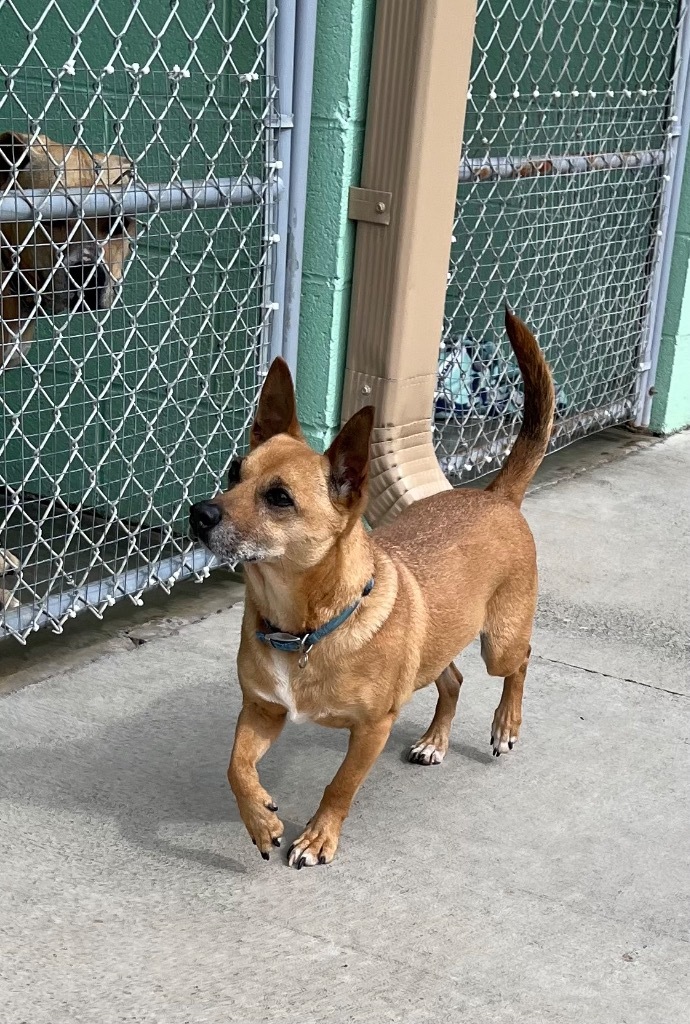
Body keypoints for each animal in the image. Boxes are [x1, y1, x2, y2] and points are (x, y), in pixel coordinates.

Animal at [188, 307, 552, 868]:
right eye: (233, 473)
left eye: (279, 497)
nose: (198, 514)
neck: (305, 627)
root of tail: (496, 496)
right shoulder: (261, 711)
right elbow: (236, 767)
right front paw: (260, 822)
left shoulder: (371, 730)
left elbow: (340, 786)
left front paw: (319, 836)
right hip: (439, 641)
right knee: (453, 680)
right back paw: (435, 740)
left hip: (501, 643)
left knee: (520, 661)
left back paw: (506, 724)